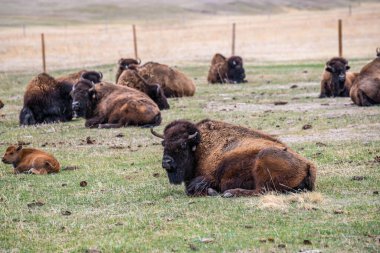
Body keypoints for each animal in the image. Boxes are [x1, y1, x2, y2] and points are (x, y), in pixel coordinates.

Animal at [150, 119, 316, 198]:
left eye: (183, 144)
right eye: (164, 143)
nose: (166, 162)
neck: (199, 147)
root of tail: (308, 165)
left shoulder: (209, 178)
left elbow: (192, 188)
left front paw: (212, 192)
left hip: (263, 163)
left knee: (262, 190)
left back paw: (229, 193)